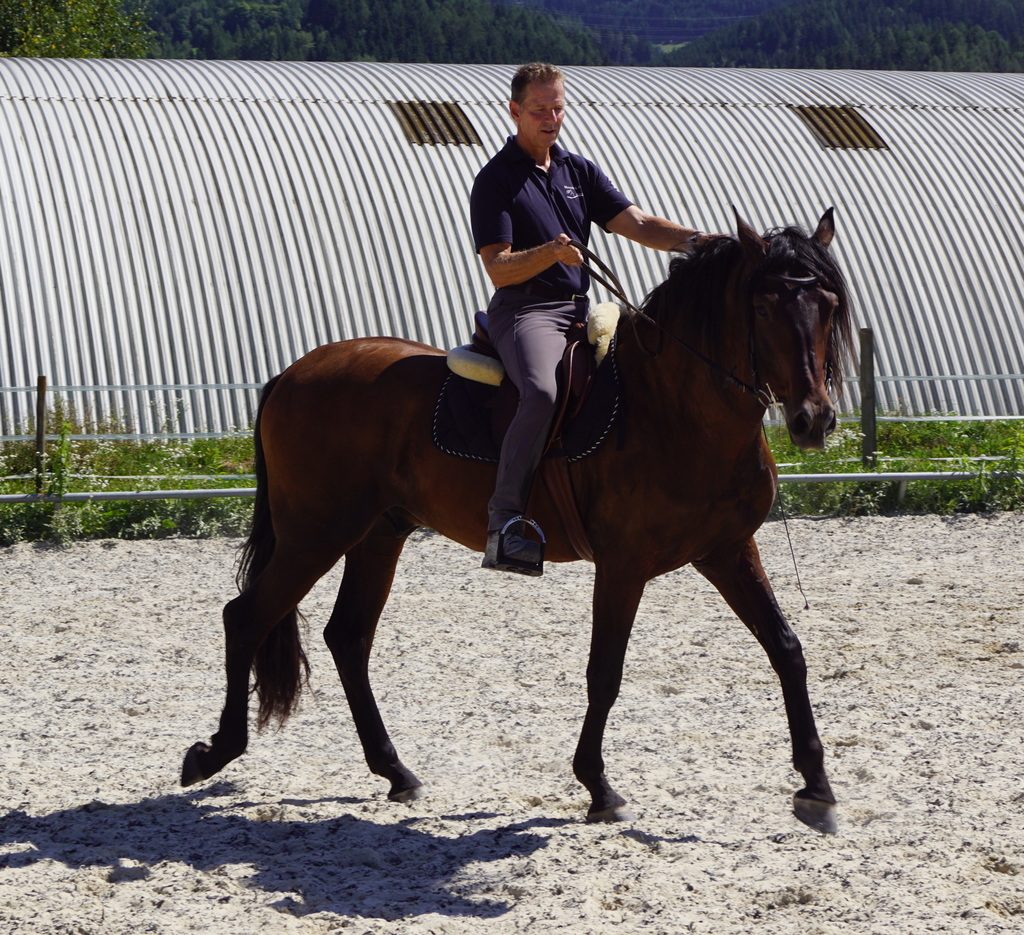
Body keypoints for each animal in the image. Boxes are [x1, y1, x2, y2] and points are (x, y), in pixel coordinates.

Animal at [180, 207, 851, 827]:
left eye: (828, 305)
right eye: (762, 307)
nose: (812, 420)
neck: (673, 406)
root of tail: (293, 372)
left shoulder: (728, 551)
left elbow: (787, 649)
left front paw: (816, 787)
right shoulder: (623, 565)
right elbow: (605, 671)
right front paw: (598, 787)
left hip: (377, 534)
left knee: (347, 636)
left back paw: (396, 771)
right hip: (315, 534)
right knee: (246, 617)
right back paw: (215, 752)